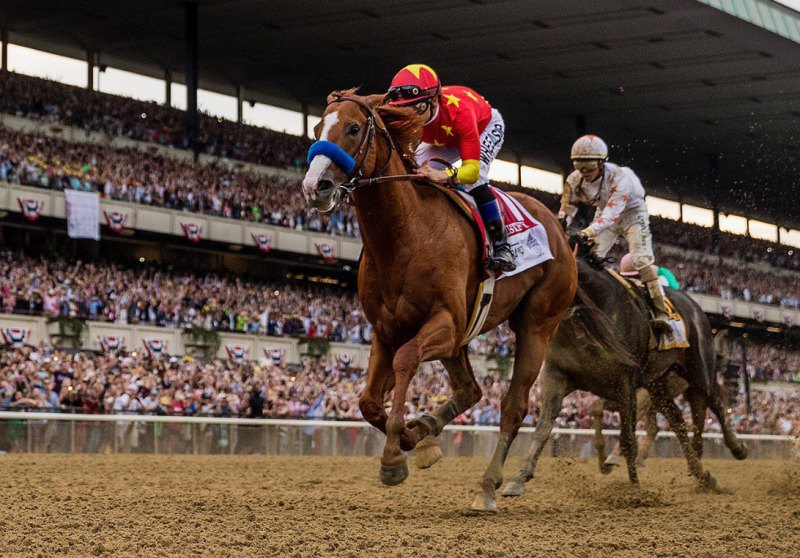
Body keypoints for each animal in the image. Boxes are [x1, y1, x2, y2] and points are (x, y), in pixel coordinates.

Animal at [302, 91, 632, 512]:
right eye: (317, 127)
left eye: (354, 127)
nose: (316, 186)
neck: (407, 233)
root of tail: (562, 233)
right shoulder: (386, 330)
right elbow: (368, 402)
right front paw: (415, 437)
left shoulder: (446, 321)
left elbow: (406, 360)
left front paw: (394, 456)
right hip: (466, 336)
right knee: (471, 390)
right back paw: (429, 430)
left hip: (537, 324)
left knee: (513, 407)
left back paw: (490, 485)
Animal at [504, 255, 748, 498]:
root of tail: (697, 309)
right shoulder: (558, 376)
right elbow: (545, 427)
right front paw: (519, 479)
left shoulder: (626, 383)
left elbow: (627, 438)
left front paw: (633, 488)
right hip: (657, 385)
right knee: (678, 420)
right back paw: (701, 471)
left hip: (698, 371)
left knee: (713, 403)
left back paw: (734, 449)